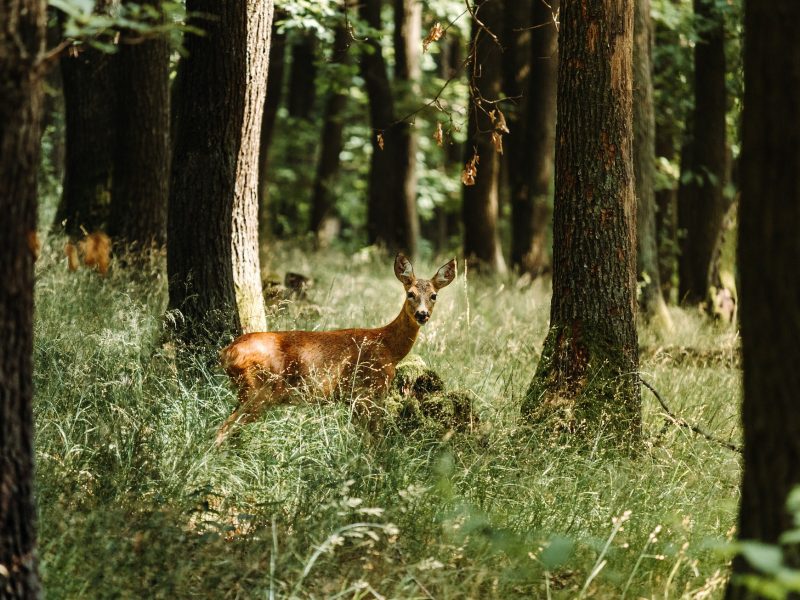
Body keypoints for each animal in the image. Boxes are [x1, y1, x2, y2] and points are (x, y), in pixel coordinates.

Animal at [215, 254, 457, 445]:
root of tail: (226, 352)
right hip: (258, 390)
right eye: (410, 294)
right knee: (223, 429)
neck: (389, 347)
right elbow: (374, 440)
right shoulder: (366, 392)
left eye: (433, 295)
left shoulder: (354, 399)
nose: (422, 314)